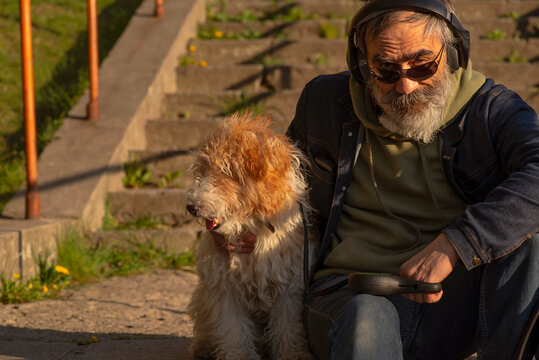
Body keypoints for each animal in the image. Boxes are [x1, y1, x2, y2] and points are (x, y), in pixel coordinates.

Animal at [186, 113, 314, 360]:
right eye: (203, 170)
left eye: (226, 170)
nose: (192, 207)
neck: (252, 226)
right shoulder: (224, 289)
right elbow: (234, 331)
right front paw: (240, 355)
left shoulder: (288, 287)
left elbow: (287, 329)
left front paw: (293, 354)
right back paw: (202, 347)